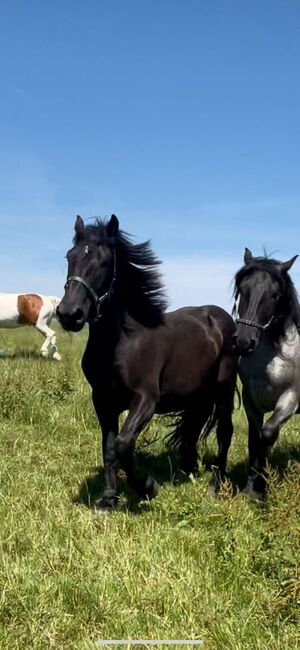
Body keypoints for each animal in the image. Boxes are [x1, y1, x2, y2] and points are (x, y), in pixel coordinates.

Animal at [57, 215, 238, 508]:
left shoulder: (145, 400)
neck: (122, 341)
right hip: (197, 396)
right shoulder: (102, 400)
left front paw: (147, 487)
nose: (69, 314)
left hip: (223, 390)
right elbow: (109, 448)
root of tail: (222, 318)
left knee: (224, 433)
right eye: (69, 256)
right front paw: (108, 499)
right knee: (192, 431)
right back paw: (187, 471)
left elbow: (123, 444)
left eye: (104, 261)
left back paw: (216, 485)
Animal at [234, 247, 300, 496]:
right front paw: (250, 489)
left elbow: (268, 434)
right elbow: (255, 438)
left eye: (274, 295)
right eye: (242, 290)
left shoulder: (290, 399)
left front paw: (263, 484)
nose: (243, 342)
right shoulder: (251, 401)